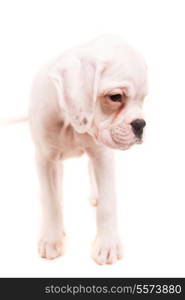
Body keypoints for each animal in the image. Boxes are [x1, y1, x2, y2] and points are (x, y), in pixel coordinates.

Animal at [28, 34, 147, 264]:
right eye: (115, 97)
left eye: (143, 100)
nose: (140, 124)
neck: (69, 123)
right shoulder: (44, 158)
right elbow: (50, 200)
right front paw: (52, 239)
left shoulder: (102, 155)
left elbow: (108, 203)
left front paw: (107, 245)